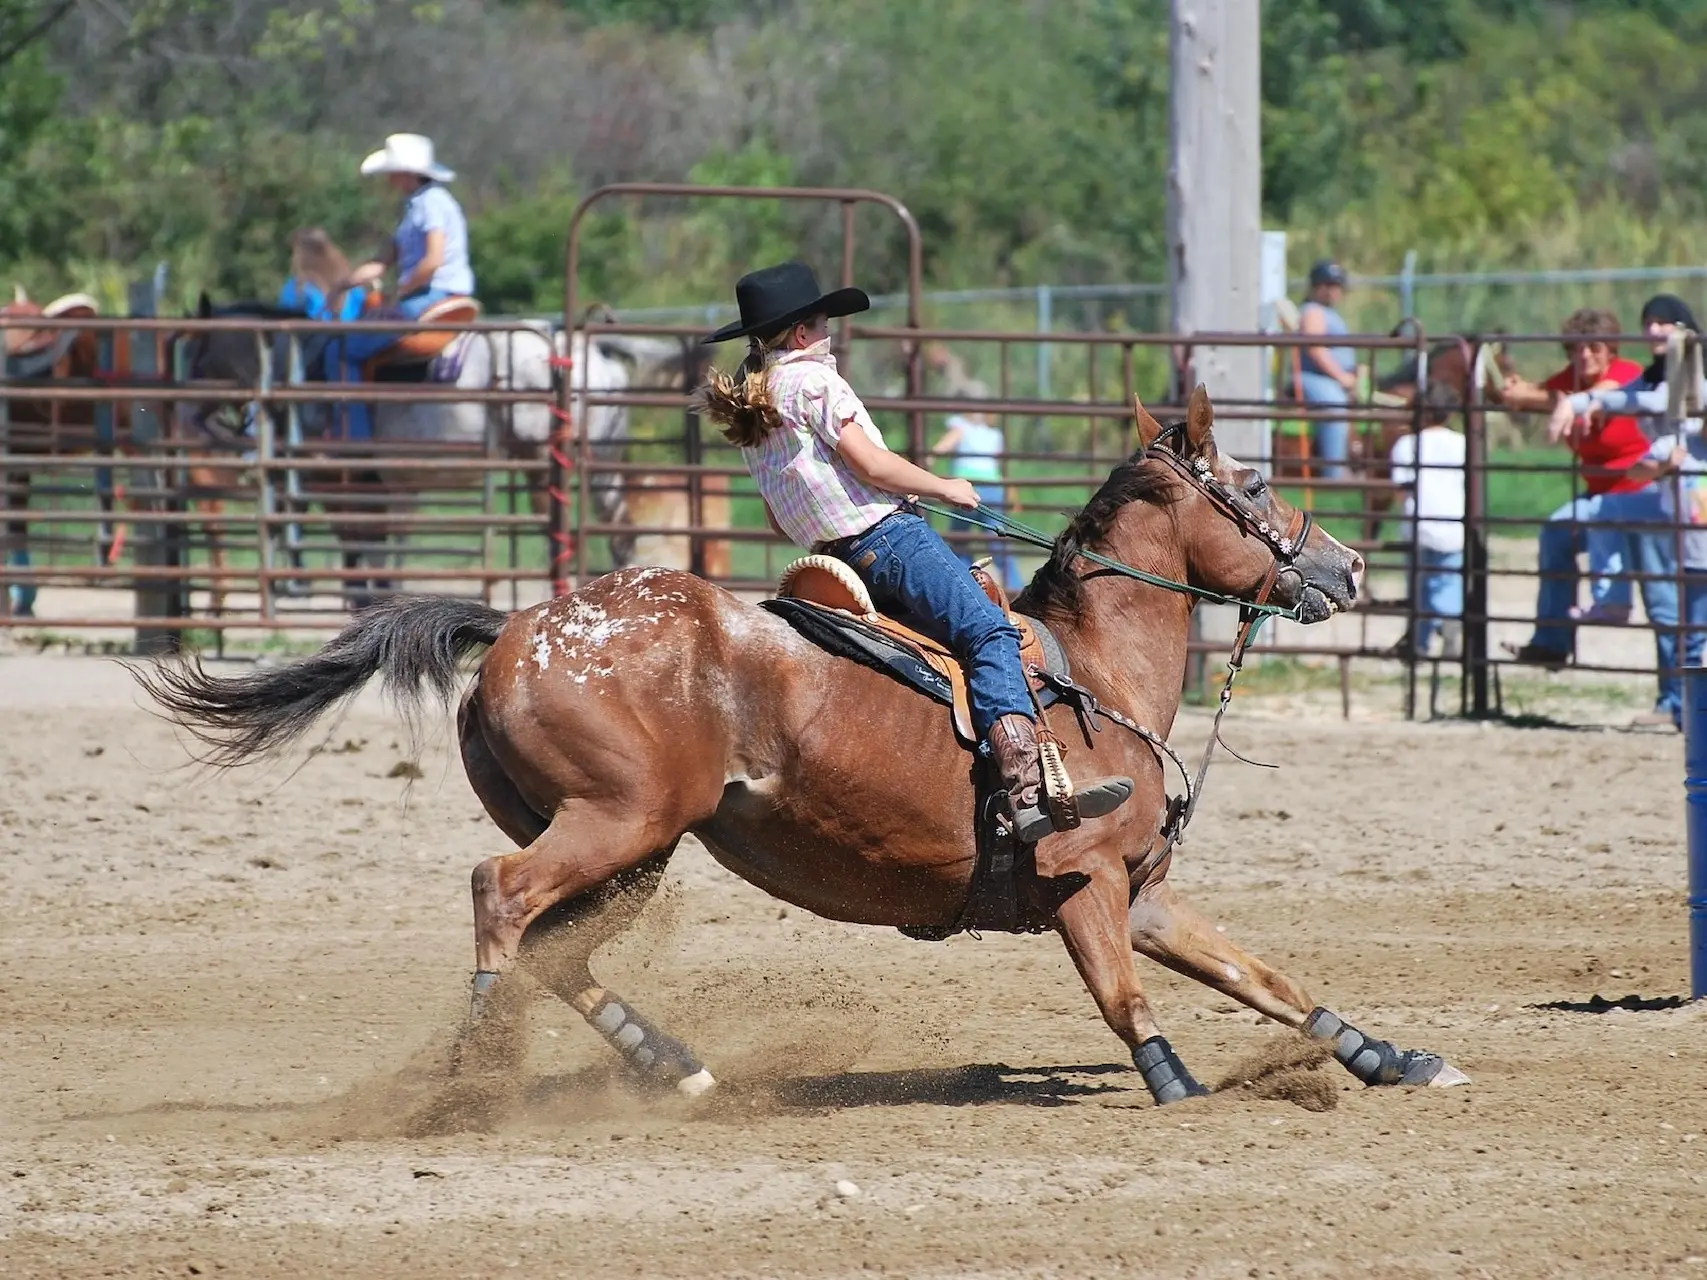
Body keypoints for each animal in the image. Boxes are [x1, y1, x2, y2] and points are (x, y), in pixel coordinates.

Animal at [136, 390, 1468, 1112]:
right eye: (1257, 480)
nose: (1351, 564)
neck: (1092, 671)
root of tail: (514, 622)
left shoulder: (1142, 888)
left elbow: (1268, 976)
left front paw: (1393, 1056)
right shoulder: (1082, 877)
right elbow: (1124, 993)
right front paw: (1178, 1082)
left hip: (636, 848)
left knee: (555, 947)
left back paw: (672, 1064)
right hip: (613, 824)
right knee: (498, 900)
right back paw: (474, 1068)